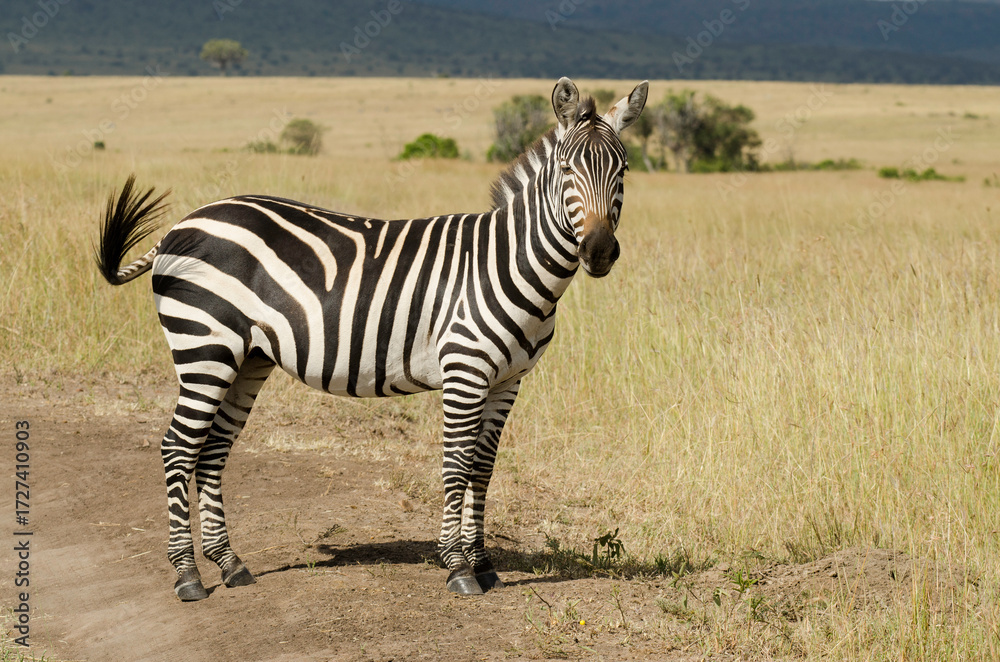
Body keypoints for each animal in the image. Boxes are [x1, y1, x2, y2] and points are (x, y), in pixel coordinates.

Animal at [96, 77, 648, 601]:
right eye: (567, 171)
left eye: (622, 172)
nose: (599, 251)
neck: (509, 263)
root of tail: (184, 222)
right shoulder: (464, 370)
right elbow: (456, 465)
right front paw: (457, 567)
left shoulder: (508, 381)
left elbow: (483, 468)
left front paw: (484, 563)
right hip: (205, 348)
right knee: (178, 446)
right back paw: (188, 575)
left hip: (247, 358)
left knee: (212, 449)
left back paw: (230, 564)